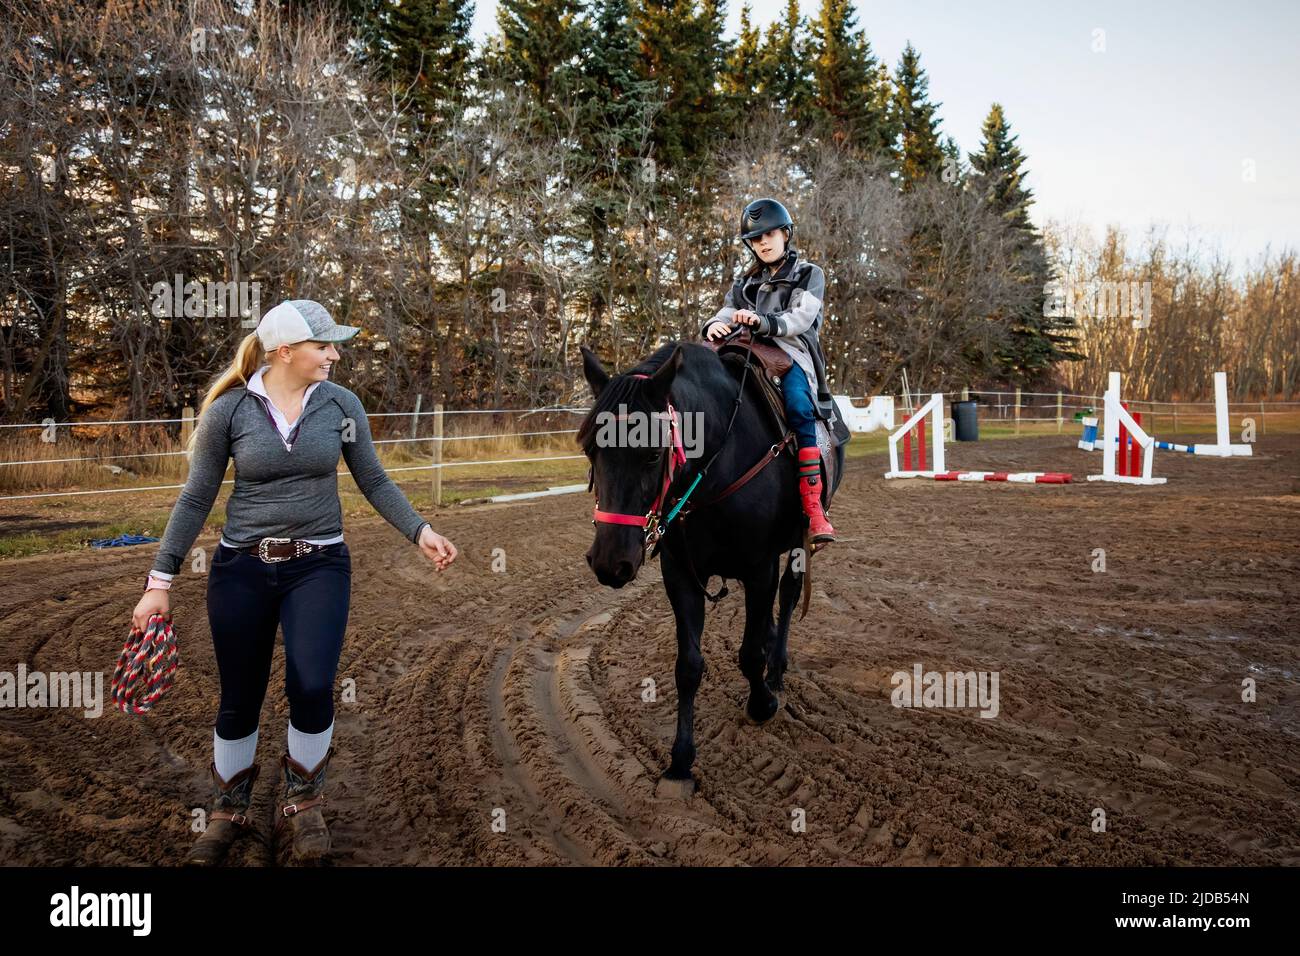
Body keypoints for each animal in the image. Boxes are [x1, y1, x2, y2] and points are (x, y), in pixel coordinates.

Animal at [577, 340, 842, 796]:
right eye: (592, 448)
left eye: (652, 453)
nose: (611, 561)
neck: (720, 461)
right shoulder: (680, 574)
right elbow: (688, 666)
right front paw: (680, 762)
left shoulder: (759, 569)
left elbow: (750, 654)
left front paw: (762, 702)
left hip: (797, 543)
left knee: (788, 598)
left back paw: (777, 669)